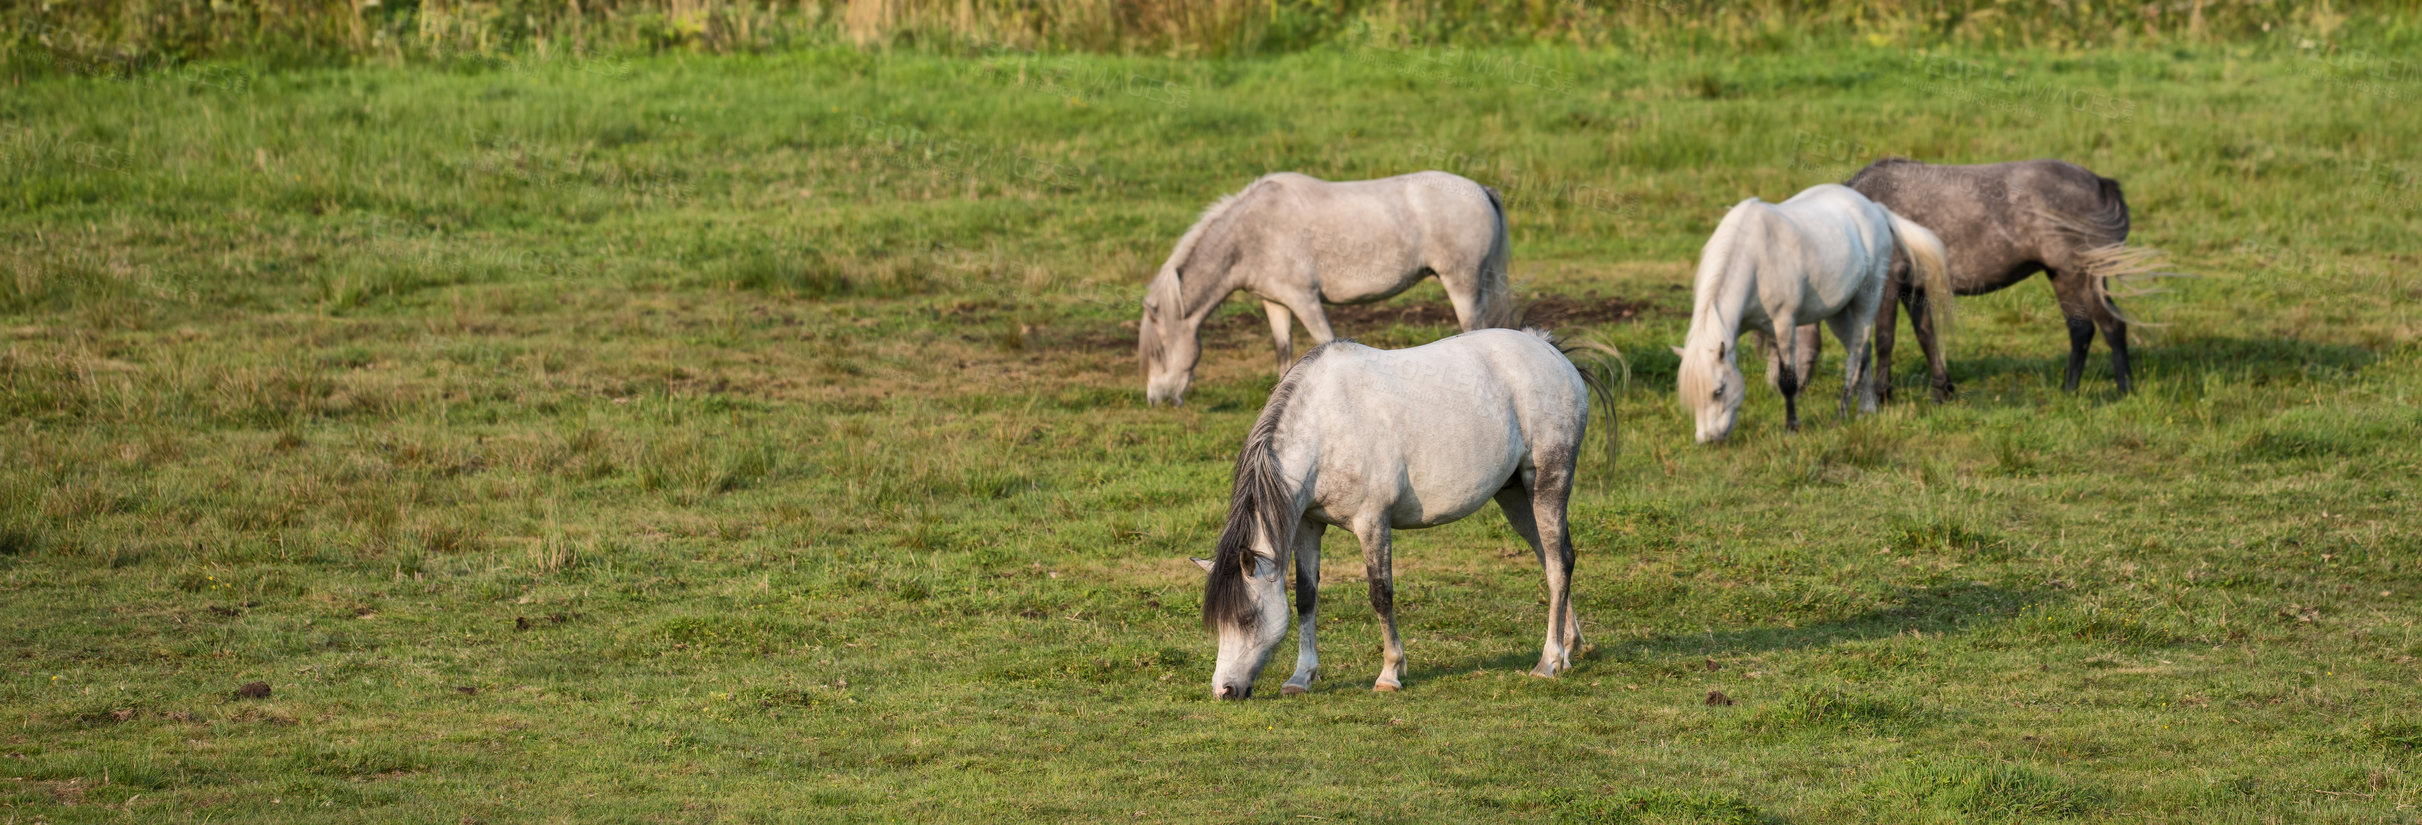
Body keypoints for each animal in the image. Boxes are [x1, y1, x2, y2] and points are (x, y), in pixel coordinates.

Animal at [1133, 170, 1511, 404]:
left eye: (1159, 351)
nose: (1156, 399)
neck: (1253, 233)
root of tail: (1482, 191)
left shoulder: (1305, 300)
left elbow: (1324, 341)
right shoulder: (1276, 304)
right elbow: (1283, 352)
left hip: (1461, 285)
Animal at [1186, 324, 1608, 696]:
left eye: (1246, 618)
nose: (1224, 690)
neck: (1327, 426)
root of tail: (1548, 348)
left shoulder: (1373, 522)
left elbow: (1381, 594)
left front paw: (1390, 673)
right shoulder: (1307, 525)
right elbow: (1306, 598)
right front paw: (1301, 677)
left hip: (1548, 482)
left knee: (1560, 561)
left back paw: (1549, 662)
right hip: (1515, 495)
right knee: (1550, 559)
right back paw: (1569, 647)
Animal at [1676, 182, 1956, 440]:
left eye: (1718, 391)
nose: (1708, 439)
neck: (1754, 257)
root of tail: (1875, 209)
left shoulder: (1784, 322)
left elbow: (1787, 380)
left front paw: (1792, 427)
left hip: (1868, 300)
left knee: (1855, 358)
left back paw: (1842, 413)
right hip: (1837, 313)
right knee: (1862, 352)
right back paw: (1867, 409)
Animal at [1782, 158, 2160, 399]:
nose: (1783, 387)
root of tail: (2101, 183)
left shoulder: (1887, 285)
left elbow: (1884, 340)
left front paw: (1883, 395)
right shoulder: (1914, 290)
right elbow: (1926, 337)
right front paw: (1942, 391)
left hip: (2082, 275)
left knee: (2112, 326)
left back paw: (2123, 391)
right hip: (2063, 277)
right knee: (2081, 330)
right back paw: (2069, 392)